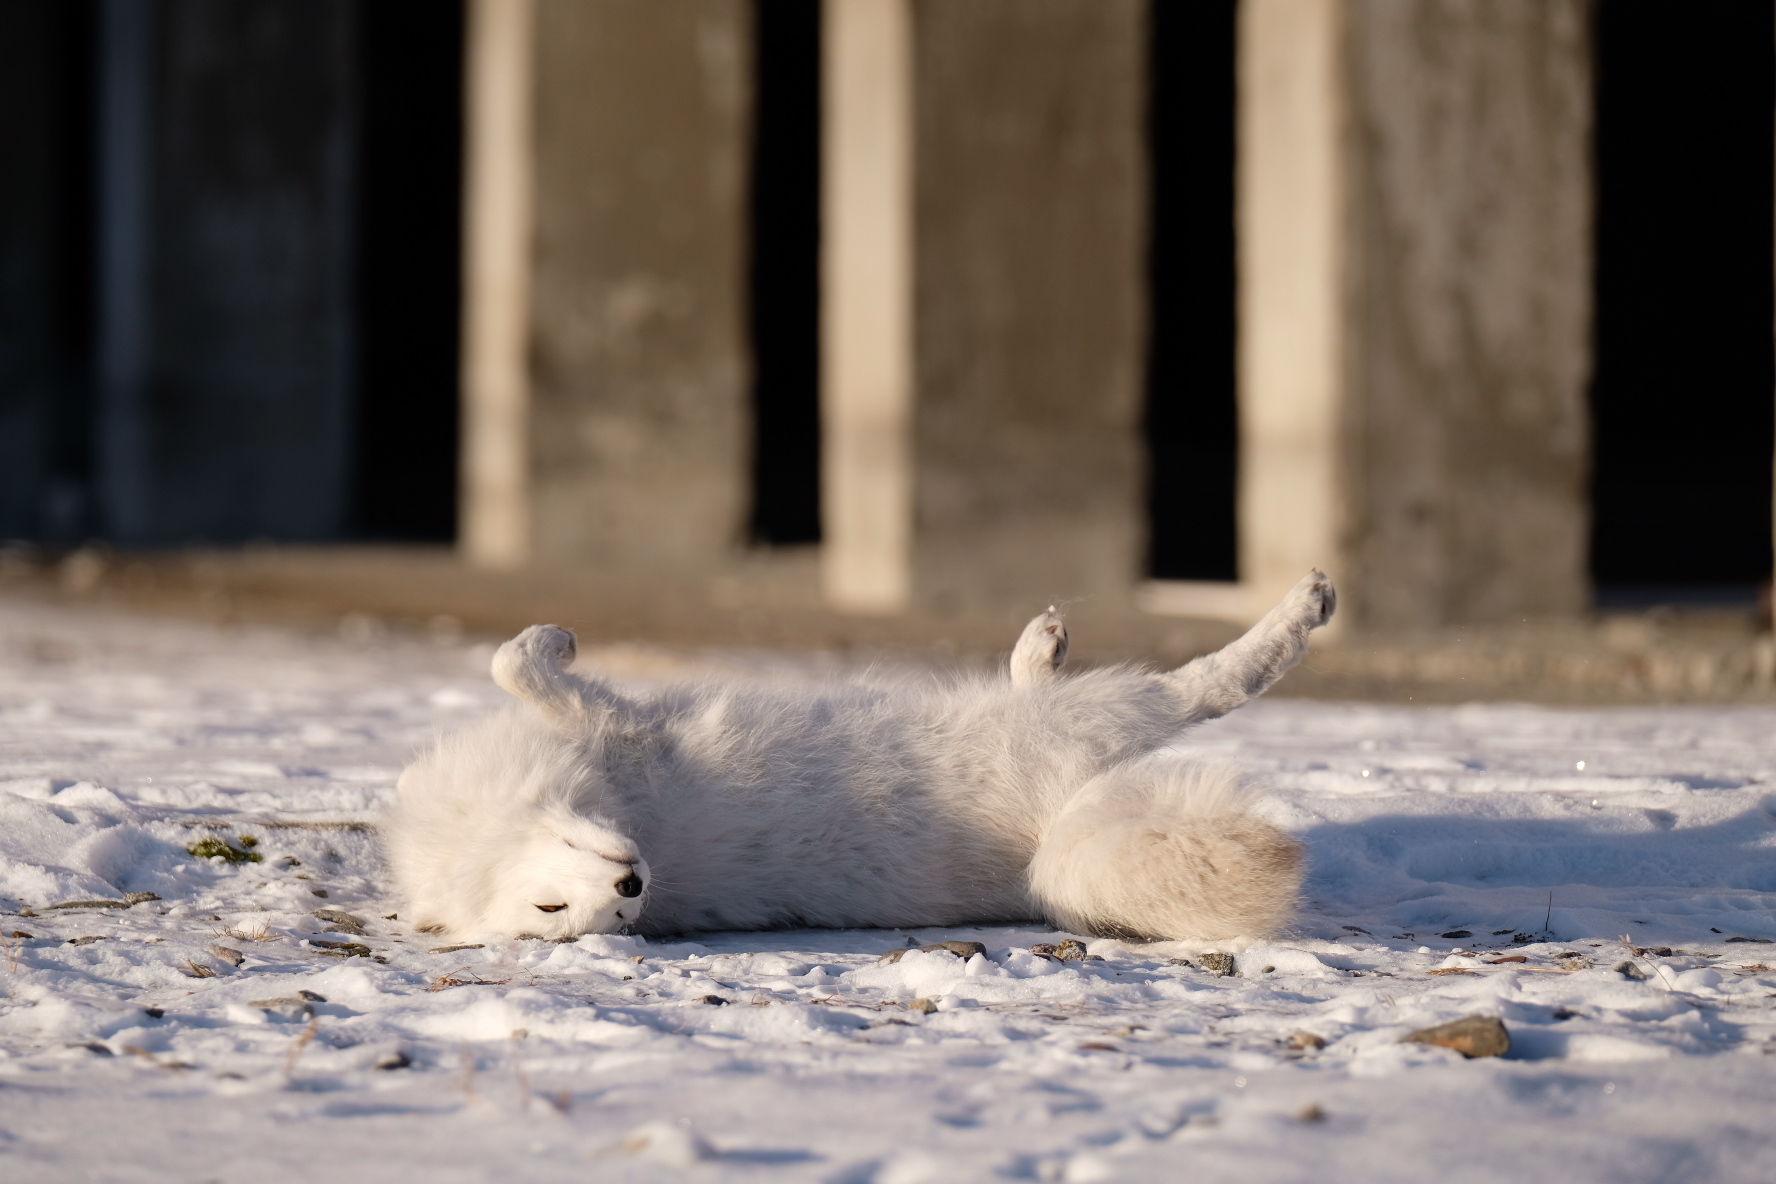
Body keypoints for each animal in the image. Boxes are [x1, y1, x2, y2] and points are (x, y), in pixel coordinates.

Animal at [385, 571, 1335, 944]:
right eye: (559, 915)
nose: (630, 887)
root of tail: (1052, 840)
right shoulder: (623, 734)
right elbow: (517, 662)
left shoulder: (611, 731)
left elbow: (511, 658)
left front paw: (555, 637)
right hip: (1087, 723)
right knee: (1206, 686)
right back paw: (1299, 610)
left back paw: (1044, 645)